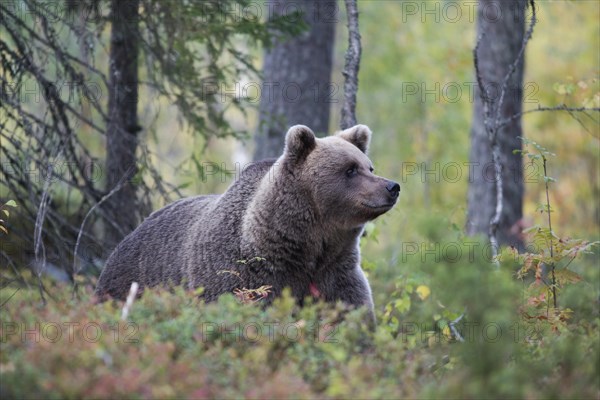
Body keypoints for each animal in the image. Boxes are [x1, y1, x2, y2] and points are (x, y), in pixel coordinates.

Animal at [96, 125, 400, 318]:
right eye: (350, 170)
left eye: (368, 166)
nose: (392, 186)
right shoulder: (244, 277)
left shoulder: (336, 273)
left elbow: (352, 313)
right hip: (129, 283)